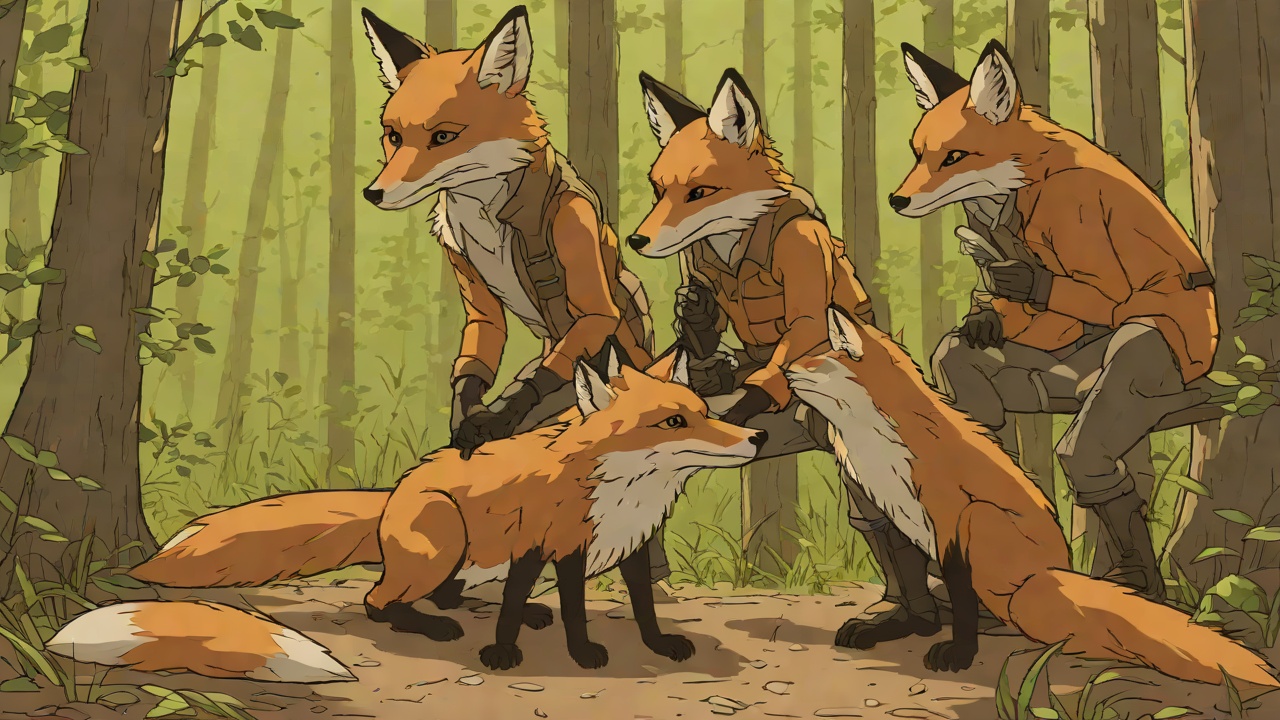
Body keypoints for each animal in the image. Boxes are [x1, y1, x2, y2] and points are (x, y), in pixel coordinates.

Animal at [47, 346, 766, 678]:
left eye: (703, 411)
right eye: (673, 421)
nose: (756, 438)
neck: (623, 495)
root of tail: (394, 494)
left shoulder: (632, 545)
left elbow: (642, 606)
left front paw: (659, 645)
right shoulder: (548, 541)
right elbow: (554, 606)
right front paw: (532, 651)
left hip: (464, 554)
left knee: (445, 592)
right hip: (443, 538)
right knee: (378, 601)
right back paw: (434, 626)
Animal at [787, 307, 1276, 688]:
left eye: (815, 361)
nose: (785, 373)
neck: (873, 443)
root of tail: (1054, 573)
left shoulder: (950, 517)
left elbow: (960, 597)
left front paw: (958, 654)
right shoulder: (893, 508)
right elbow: (907, 578)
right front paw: (909, 624)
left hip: (984, 523)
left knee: (1021, 617)